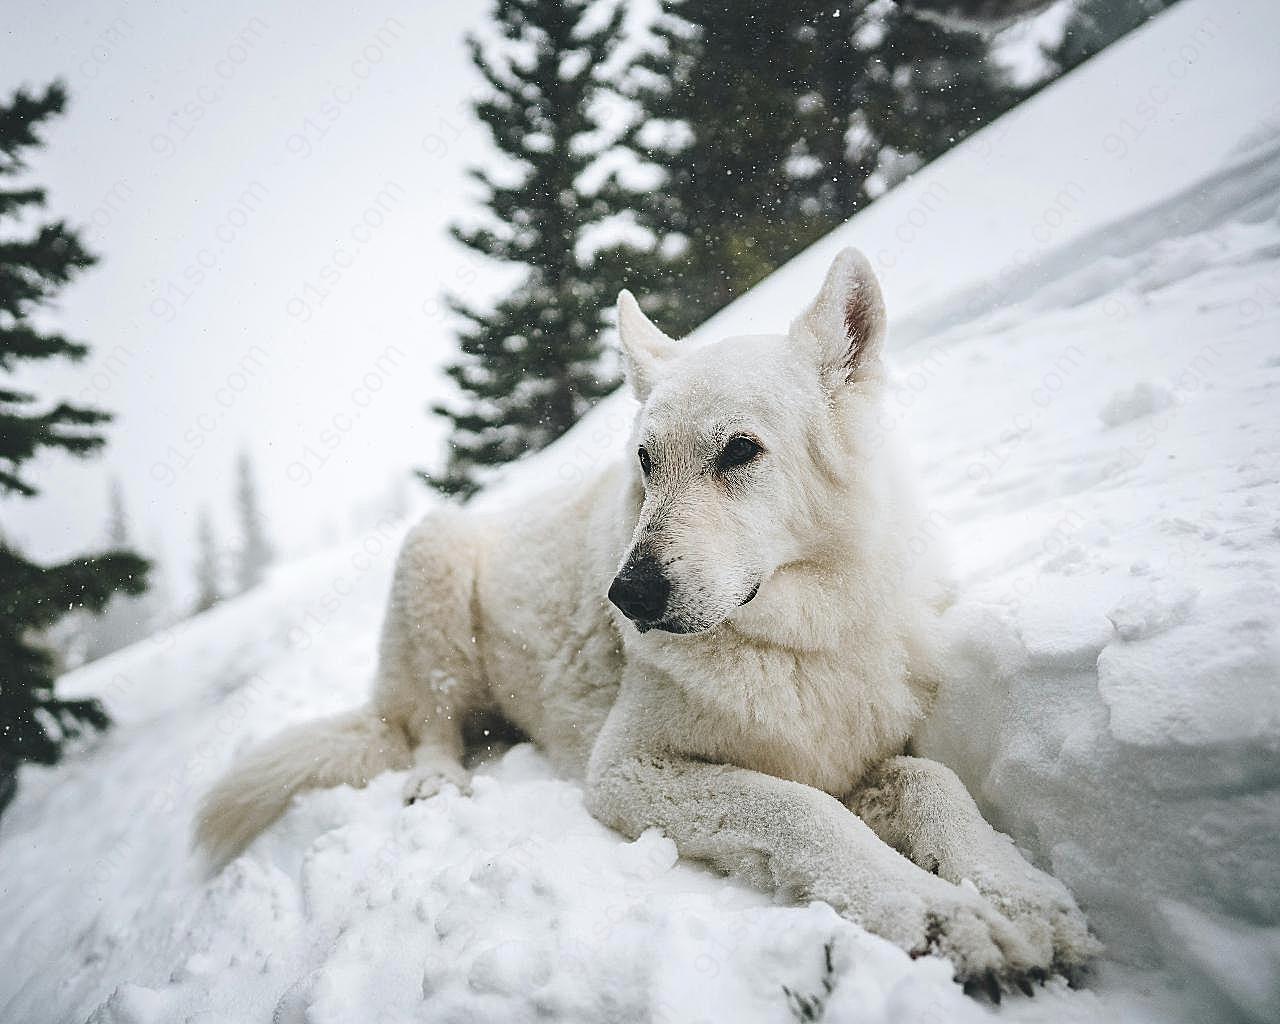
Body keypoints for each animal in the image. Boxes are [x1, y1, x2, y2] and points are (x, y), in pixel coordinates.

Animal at [199, 248, 1100, 993]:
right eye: (645, 460)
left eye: (738, 451)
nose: (625, 595)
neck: (796, 640)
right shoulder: (629, 770)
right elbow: (801, 811)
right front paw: (938, 917)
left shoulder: (857, 750)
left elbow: (932, 781)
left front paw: (1021, 896)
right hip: (434, 554)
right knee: (427, 726)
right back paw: (438, 780)